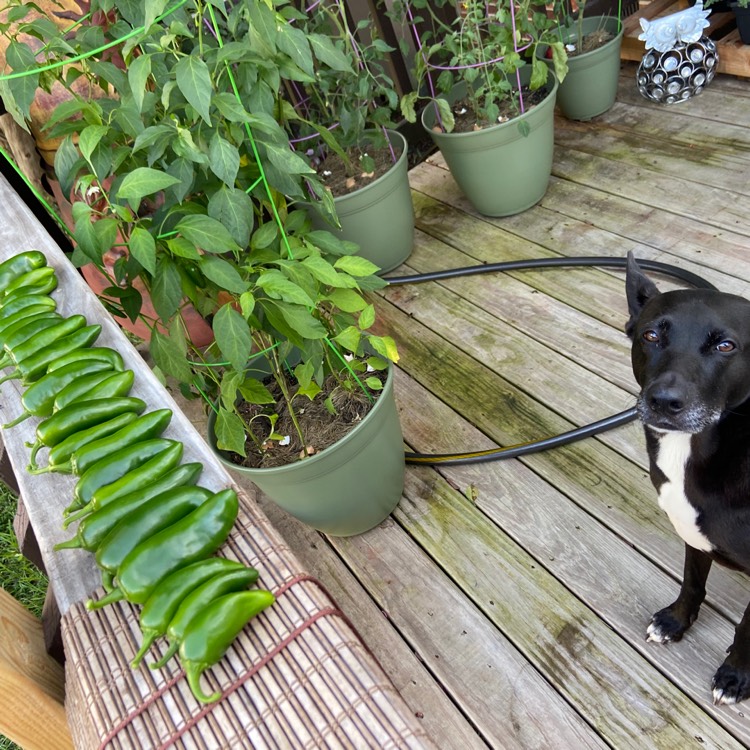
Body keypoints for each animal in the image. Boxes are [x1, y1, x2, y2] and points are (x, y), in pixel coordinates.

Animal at [628, 251, 750, 704]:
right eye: (650, 336)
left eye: (725, 345)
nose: (664, 402)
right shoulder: (692, 535)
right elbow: (692, 582)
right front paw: (676, 622)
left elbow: (748, 627)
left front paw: (735, 675)